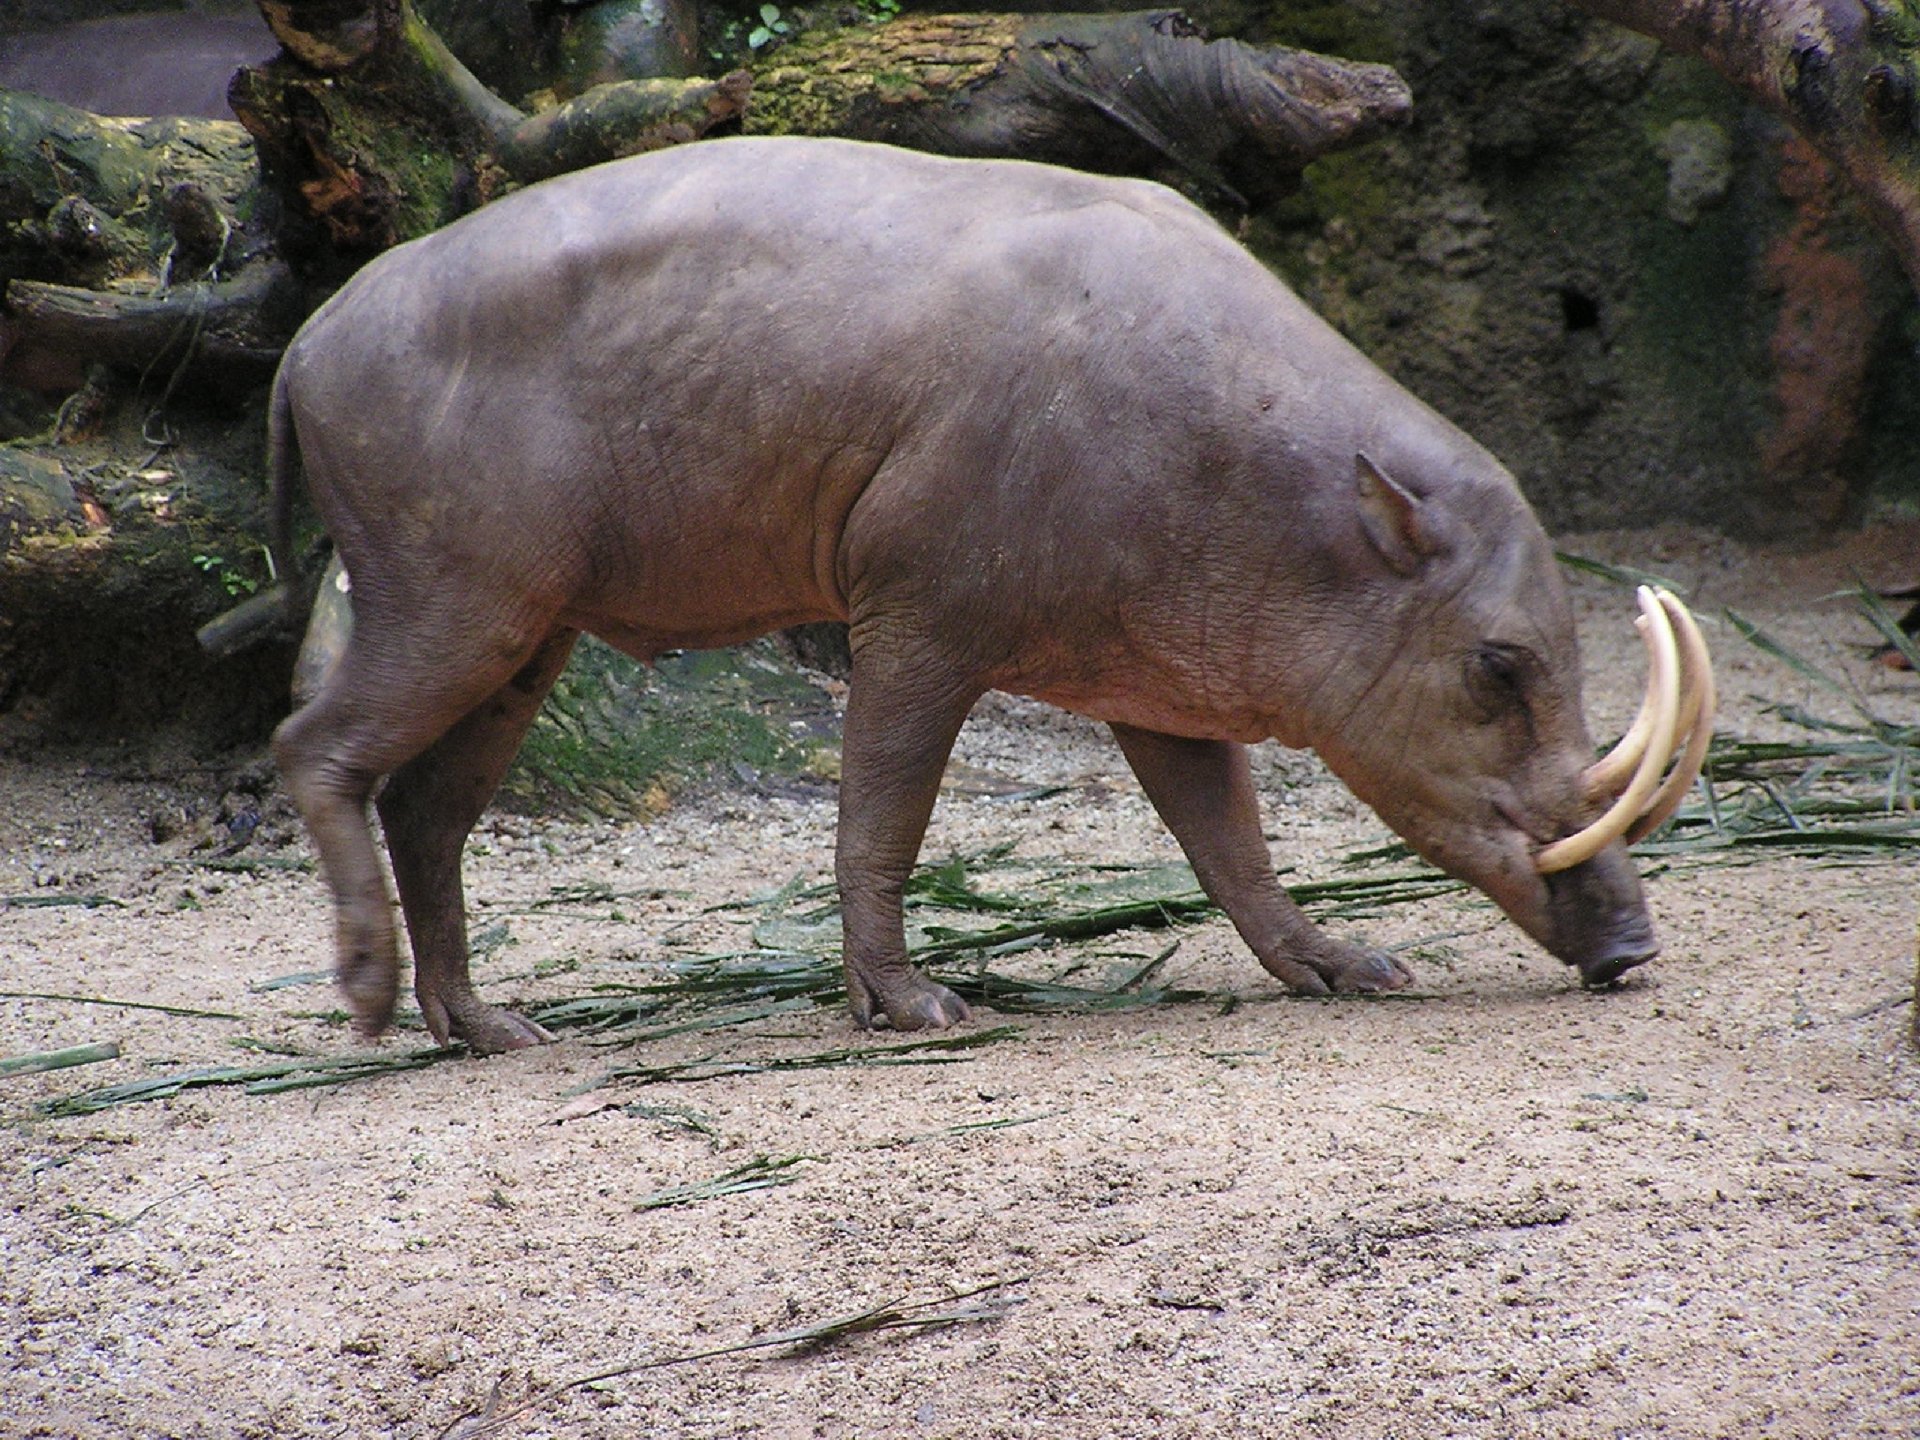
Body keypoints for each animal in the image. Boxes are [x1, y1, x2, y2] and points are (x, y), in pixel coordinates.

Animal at [269, 136, 1712, 1055]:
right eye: (1499, 667)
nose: (1634, 949)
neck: (1242, 467)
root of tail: (303, 343)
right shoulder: (920, 617)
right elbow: (882, 817)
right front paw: (907, 1008)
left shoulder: (1163, 680)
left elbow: (1227, 840)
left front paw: (1348, 968)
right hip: (451, 587)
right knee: (317, 747)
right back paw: (368, 992)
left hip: (530, 630)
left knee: (428, 810)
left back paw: (484, 1025)